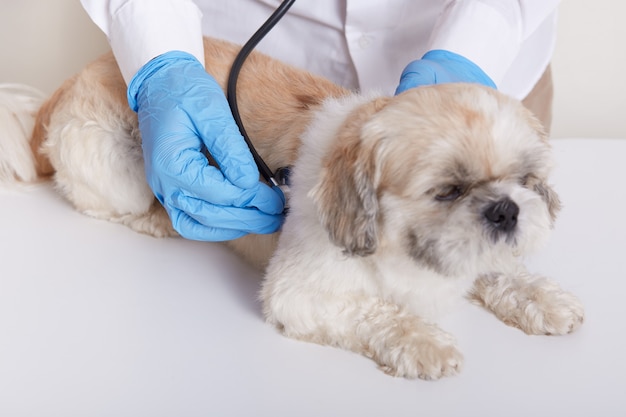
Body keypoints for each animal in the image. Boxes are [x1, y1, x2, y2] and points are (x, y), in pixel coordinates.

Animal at [0, 37, 584, 378]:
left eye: (526, 181)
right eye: (448, 191)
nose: (505, 210)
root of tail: (76, 76)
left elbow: (502, 270)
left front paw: (539, 295)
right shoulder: (301, 294)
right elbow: (379, 311)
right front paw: (424, 342)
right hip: (115, 168)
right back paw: (157, 218)